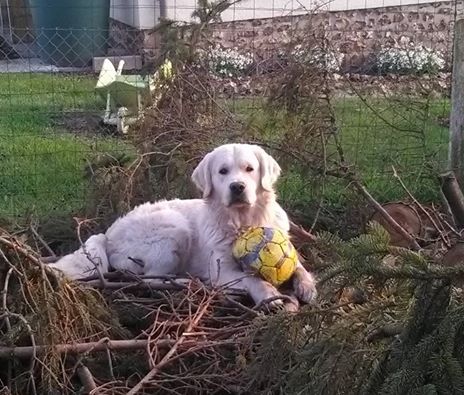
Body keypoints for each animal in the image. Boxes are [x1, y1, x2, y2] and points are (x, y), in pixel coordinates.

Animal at [48, 145, 316, 310]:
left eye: (250, 169)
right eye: (223, 171)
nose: (237, 187)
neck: (244, 221)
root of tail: (108, 234)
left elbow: (298, 266)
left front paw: (306, 285)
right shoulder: (222, 271)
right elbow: (253, 279)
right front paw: (269, 294)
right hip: (174, 228)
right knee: (151, 279)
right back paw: (187, 282)